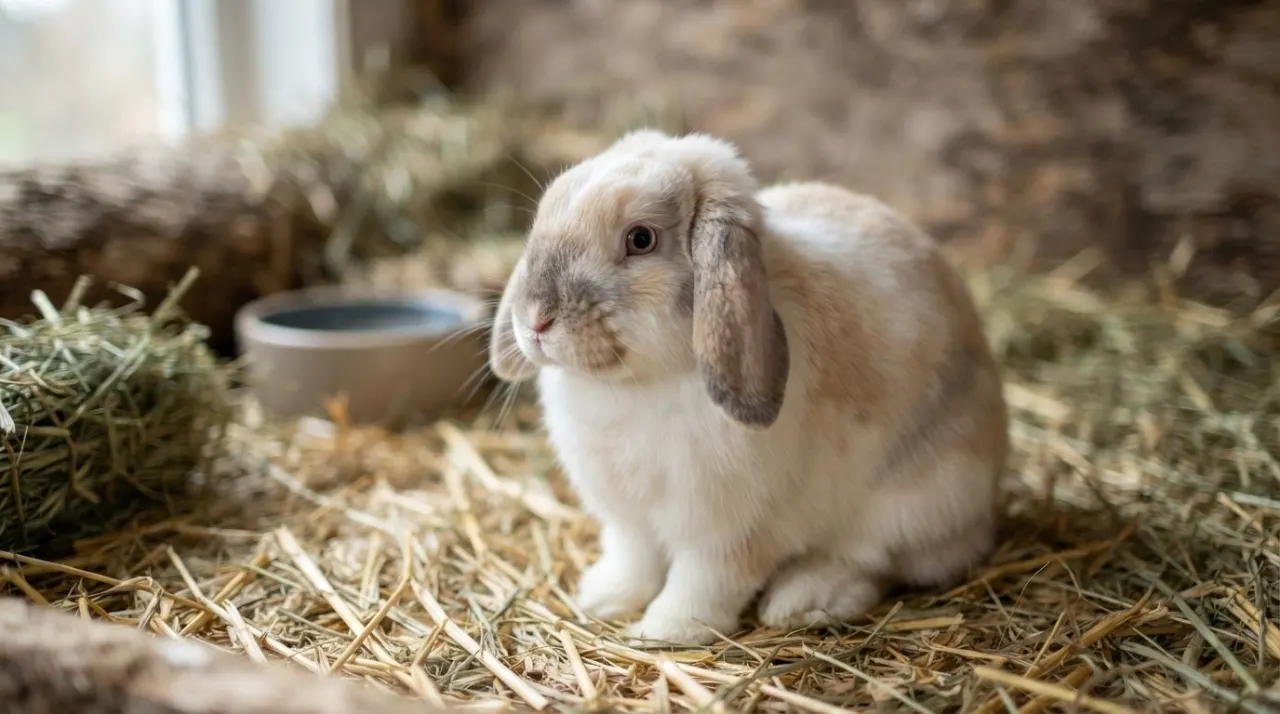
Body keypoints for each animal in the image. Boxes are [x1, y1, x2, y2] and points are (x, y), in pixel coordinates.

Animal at [486, 129, 1009, 646]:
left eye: (641, 239)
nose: (536, 319)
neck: (641, 382)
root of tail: (987, 507)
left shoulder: (727, 532)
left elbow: (703, 581)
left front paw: (665, 632)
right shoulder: (629, 519)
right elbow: (634, 560)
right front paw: (602, 599)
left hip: (913, 504)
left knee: (873, 561)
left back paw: (803, 599)